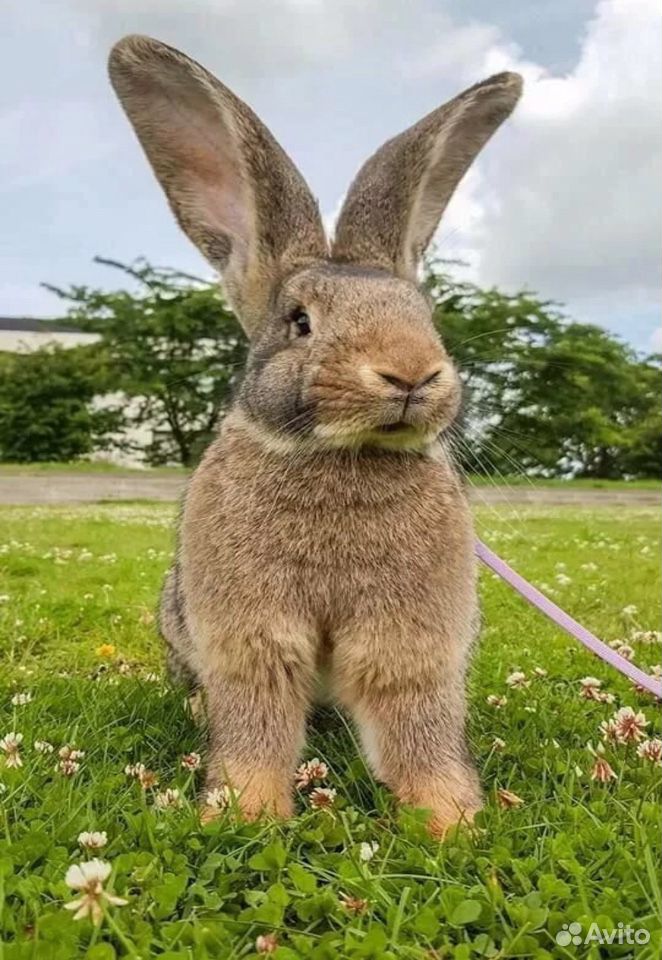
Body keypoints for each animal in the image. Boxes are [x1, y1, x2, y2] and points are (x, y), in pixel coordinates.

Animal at [109, 33, 524, 836]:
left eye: (425, 315)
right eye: (299, 321)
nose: (411, 372)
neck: (341, 454)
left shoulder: (412, 641)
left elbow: (417, 725)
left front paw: (451, 821)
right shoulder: (250, 637)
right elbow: (259, 722)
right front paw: (244, 815)